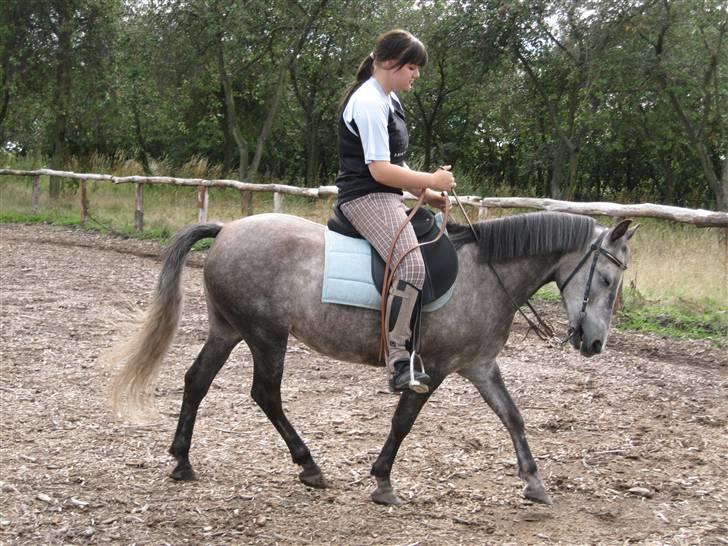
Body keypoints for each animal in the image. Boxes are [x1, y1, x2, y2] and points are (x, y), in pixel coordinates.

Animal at [109, 208, 636, 502]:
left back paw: (182, 461)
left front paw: (534, 483)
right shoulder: (434, 368)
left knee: (196, 380)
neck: (487, 274)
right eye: (608, 279)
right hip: (265, 335)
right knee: (266, 394)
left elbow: (513, 417)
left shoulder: (479, 364)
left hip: (229, 330)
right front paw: (383, 481)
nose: (594, 344)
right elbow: (402, 421)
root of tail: (226, 230)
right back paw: (309, 466)